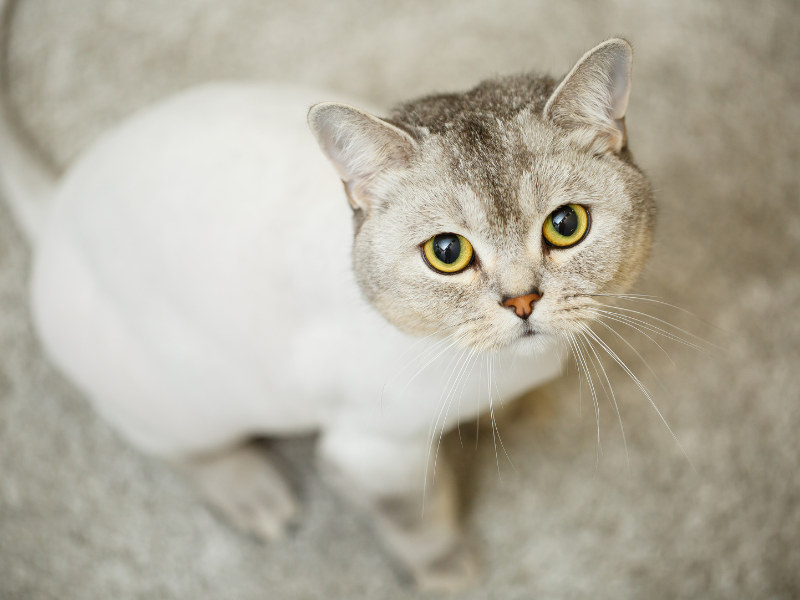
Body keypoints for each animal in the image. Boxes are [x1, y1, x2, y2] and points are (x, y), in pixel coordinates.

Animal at [0, 22, 656, 592]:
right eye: (447, 252)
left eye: (565, 225)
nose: (523, 301)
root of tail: (57, 207)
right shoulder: (373, 454)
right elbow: (420, 516)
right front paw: (445, 569)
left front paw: (522, 405)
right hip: (177, 399)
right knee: (173, 446)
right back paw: (249, 489)